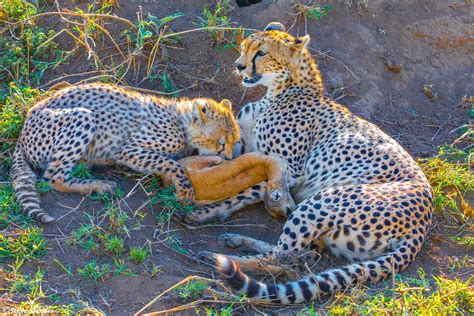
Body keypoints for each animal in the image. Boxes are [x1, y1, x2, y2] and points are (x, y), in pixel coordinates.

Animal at [12, 82, 239, 223]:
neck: (181, 122)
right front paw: (185, 191)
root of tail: (22, 133)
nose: (229, 158)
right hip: (82, 116)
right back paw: (99, 185)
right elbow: (171, 163)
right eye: (221, 144)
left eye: (234, 141)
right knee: (52, 178)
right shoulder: (128, 150)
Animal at [186, 22, 434, 304]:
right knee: (301, 253)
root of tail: (422, 225)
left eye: (261, 53)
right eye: (244, 47)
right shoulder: (245, 148)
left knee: (283, 259)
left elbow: (253, 187)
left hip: (325, 199)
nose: (239, 66)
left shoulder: (292, 171)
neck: (284, 89)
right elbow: (233, 168)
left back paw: (221, 261)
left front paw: (210, 208)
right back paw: (236, 240)